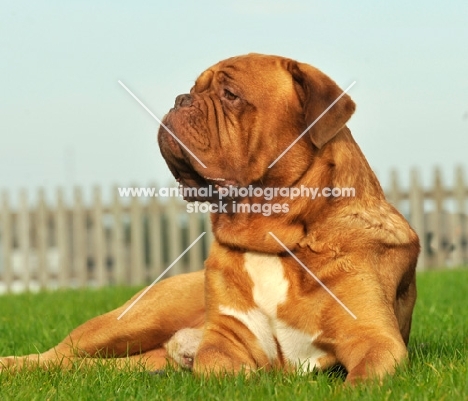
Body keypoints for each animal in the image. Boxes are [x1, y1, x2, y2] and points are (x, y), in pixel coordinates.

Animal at [0, 53, 420, 382]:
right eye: (194, 89)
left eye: (230, 95)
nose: (180, 98)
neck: (276, 238)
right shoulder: (226, 340)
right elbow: (218, 366)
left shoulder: (374, 338)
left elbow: (362, 376)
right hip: (133, 320)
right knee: (58, 356)